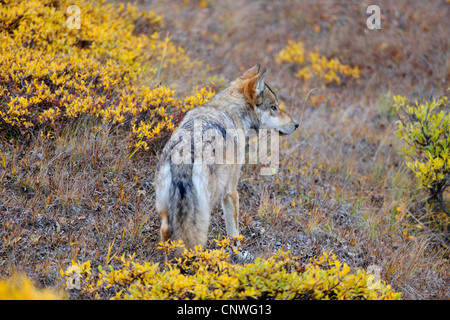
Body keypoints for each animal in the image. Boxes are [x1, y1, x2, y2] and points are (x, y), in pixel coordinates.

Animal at [155, 63, 298, 255]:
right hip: (203, 215)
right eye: (274, 107)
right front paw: (240, 254)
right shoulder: (231, 191)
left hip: (166, 212)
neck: (231, 108)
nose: (296, 124)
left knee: (165, 233)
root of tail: (182, 160)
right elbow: (234, 232)